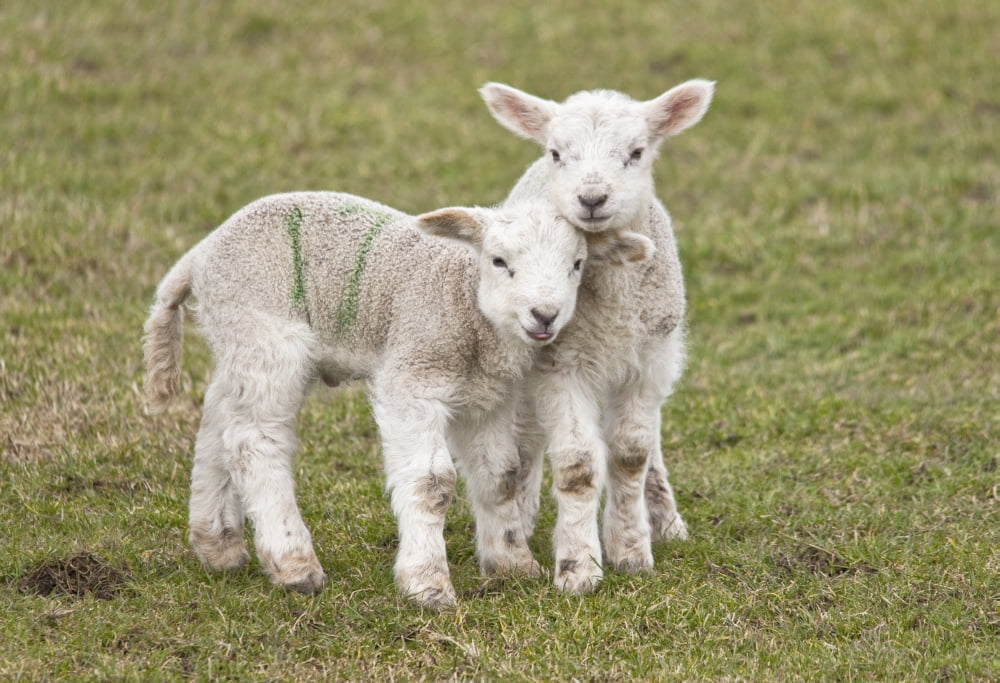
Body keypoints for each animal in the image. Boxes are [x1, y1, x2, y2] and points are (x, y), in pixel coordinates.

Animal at [142, 190, 651, 608]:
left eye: (577, 265)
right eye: (498, 261)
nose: (544, 315)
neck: (466, 300)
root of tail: (200, 256)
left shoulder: (487, 396)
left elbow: (501, 475)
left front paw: (511, 562)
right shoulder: (414, 377)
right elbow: (432, 484)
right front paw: (427, 583)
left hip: (240, 342)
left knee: (219, 423)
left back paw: (218, 544)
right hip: (266, 334)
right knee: (255, 441)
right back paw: (294, 563)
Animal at [480, 79, 714, 593]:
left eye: (636, 152)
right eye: (556, 152)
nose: (592, 198)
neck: (614, 308)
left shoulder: (648, 361)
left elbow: (630, 455)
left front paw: (631, 550)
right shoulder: (561, 365)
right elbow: (578, 467)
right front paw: (578, 566)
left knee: (651, 444)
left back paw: (664, 518)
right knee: (527, 438)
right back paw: (523, 512)